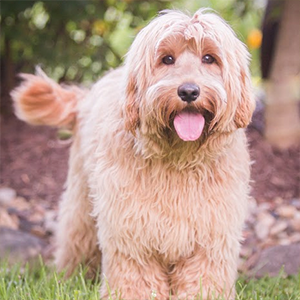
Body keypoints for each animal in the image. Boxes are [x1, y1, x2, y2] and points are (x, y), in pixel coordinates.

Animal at [12, 8, 255, 298]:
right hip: (83, 200)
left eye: (209, 58)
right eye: (167, 59)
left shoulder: (210, 241)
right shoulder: (133, 237)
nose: (188, 91)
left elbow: (203, 280)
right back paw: (68, 276)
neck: (179, 158)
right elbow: (137, 280)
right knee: (76, 237)